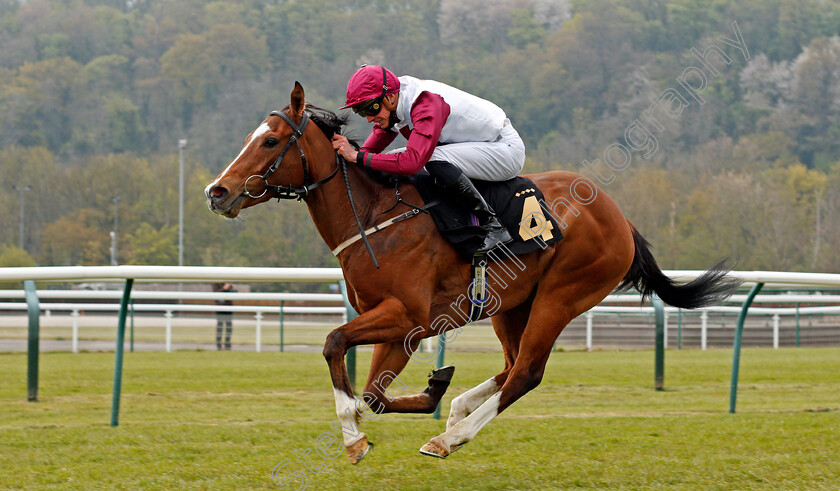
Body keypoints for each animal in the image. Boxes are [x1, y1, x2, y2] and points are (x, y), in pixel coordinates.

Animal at [207, 83, 740, 466]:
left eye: (271, 140)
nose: (217, 191)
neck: (377, 218)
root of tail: (619, 216)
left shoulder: (408, 316)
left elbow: (336, 345)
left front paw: (355, 437)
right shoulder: (399, 326)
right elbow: (374, 395)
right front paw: (425, 393)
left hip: (562, 296)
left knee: (525, 373)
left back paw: (452, 437)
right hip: (511, 304)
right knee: (509, 366)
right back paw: (456, 410)